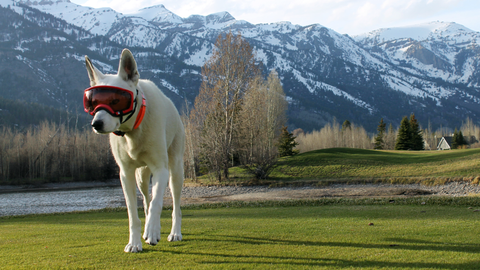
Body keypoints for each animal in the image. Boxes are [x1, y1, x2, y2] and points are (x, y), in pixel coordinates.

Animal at [83, 49, 185, 253]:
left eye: (116, 100)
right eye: (92, 102)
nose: (96, 123)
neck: (133, 129)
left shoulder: (161, 169)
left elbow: (157, 203)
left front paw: (153, 232)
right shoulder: (126, 174)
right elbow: (133, 212)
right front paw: (135, 242)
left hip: (175, 171)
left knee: (174, 204)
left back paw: (174, 233)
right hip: (141, 176)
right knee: (146, 199)